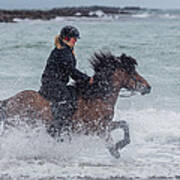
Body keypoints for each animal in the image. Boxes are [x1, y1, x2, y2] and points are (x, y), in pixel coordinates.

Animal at [0, 51, 150, 158]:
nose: (148, 87)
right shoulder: (97, 128)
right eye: (131, 71)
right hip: (16, 126)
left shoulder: (105, 124)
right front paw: (115, 149)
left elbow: (124, 125)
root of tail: (9, 101)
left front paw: (119, 146)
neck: (97, 97)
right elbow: (113, 136)